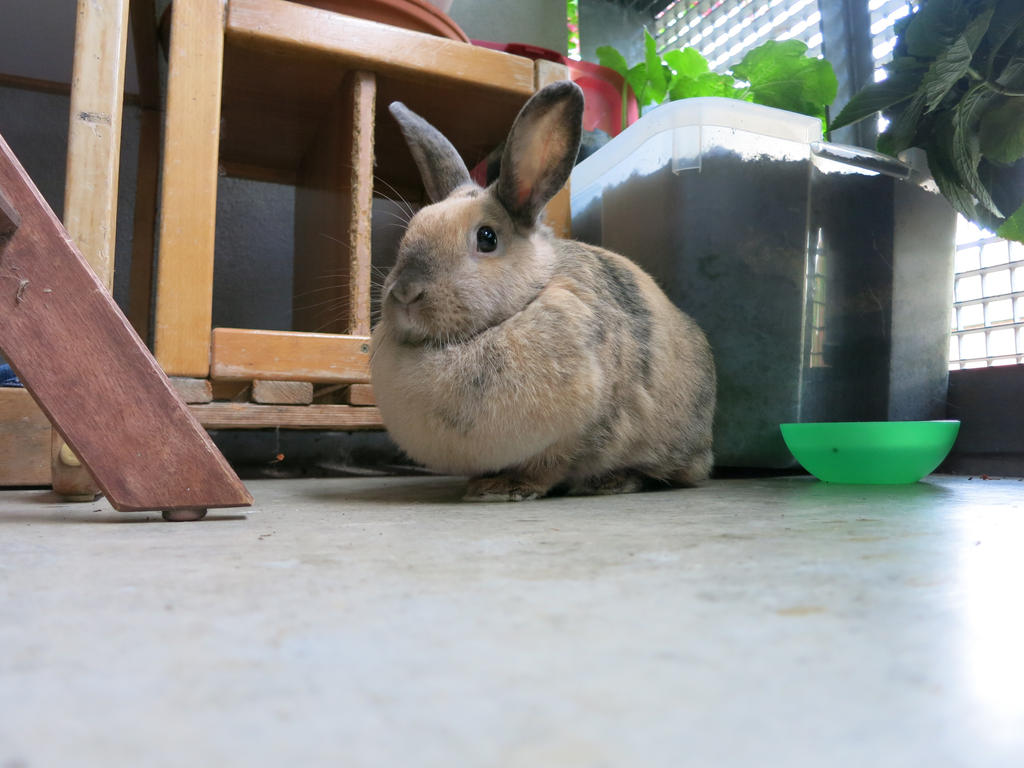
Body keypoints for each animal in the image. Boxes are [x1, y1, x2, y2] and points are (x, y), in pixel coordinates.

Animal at [371, 80, 716, 502]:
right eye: (411, 231)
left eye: (487, 238)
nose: (405, 293)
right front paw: (480, 483)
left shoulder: (580, 434)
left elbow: (550, 467)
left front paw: (504, 489)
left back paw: (610, 482)